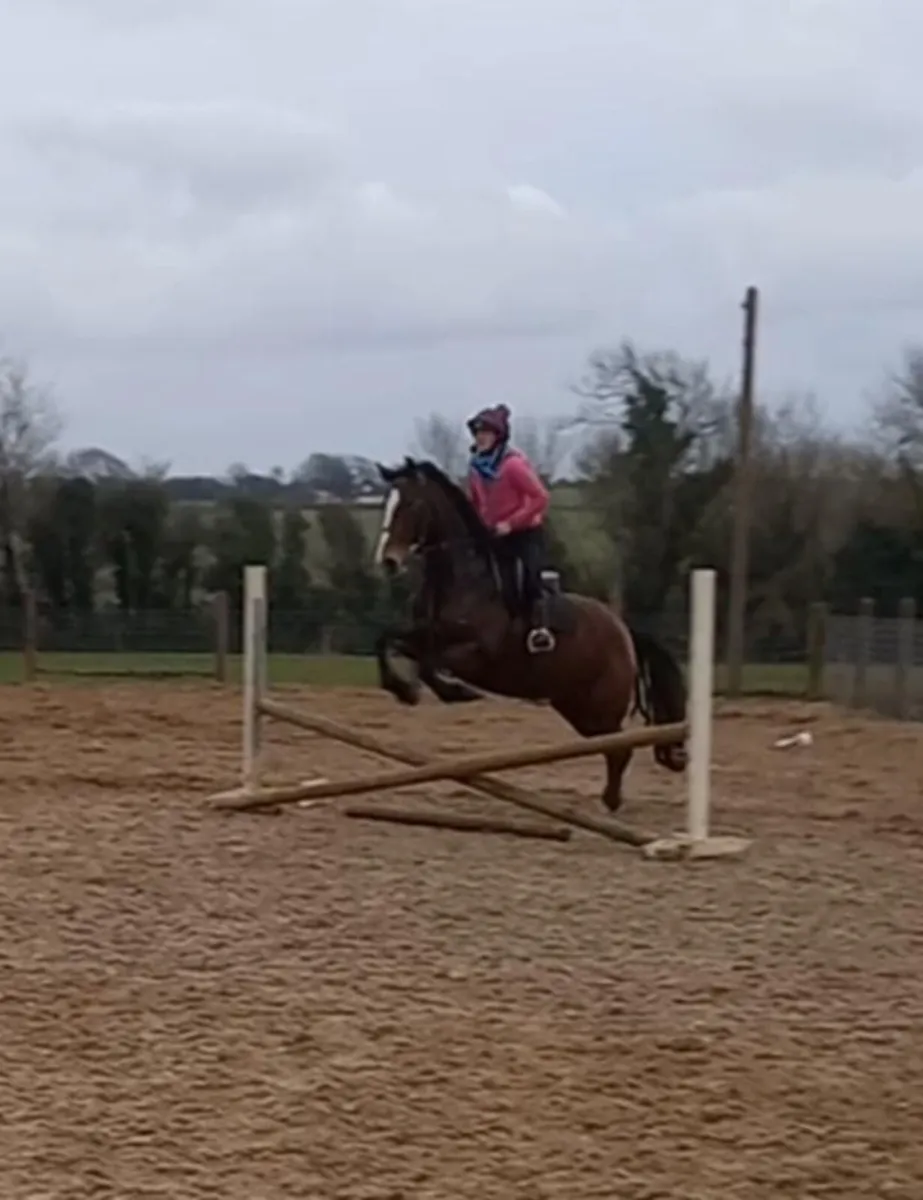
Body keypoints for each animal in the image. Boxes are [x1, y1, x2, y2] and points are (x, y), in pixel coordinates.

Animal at [372, 457, 687, 814]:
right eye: (386, 503)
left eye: (411, 504)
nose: (388, 561)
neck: (462, 577)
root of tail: (625, 632)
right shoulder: (423, 634)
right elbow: (387, 640)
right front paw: (403, 690)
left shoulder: (475, 651)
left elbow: (428, 662)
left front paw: (455, 692)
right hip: (576, 707)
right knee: (611, 745)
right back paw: (610, 801)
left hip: (602, 705)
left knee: (619, 747)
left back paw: (611, 801)